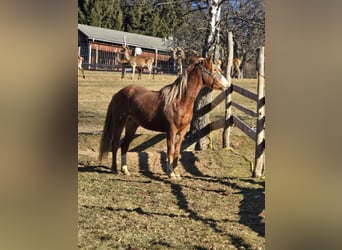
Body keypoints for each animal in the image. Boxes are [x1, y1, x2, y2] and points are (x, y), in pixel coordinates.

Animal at [97, 55, 228, 179]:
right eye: (214, 70)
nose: (227, 85)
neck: (179, 101)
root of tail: (118, 93)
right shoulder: (171, 131)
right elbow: (170, 150)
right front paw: (171, 174)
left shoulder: (182, 131)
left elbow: (177, 151)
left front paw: (176, 173)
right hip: (119, 122)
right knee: (115, 144)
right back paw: (114, 169)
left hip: (132, 125)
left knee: (124, 145)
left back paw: (125, 170)